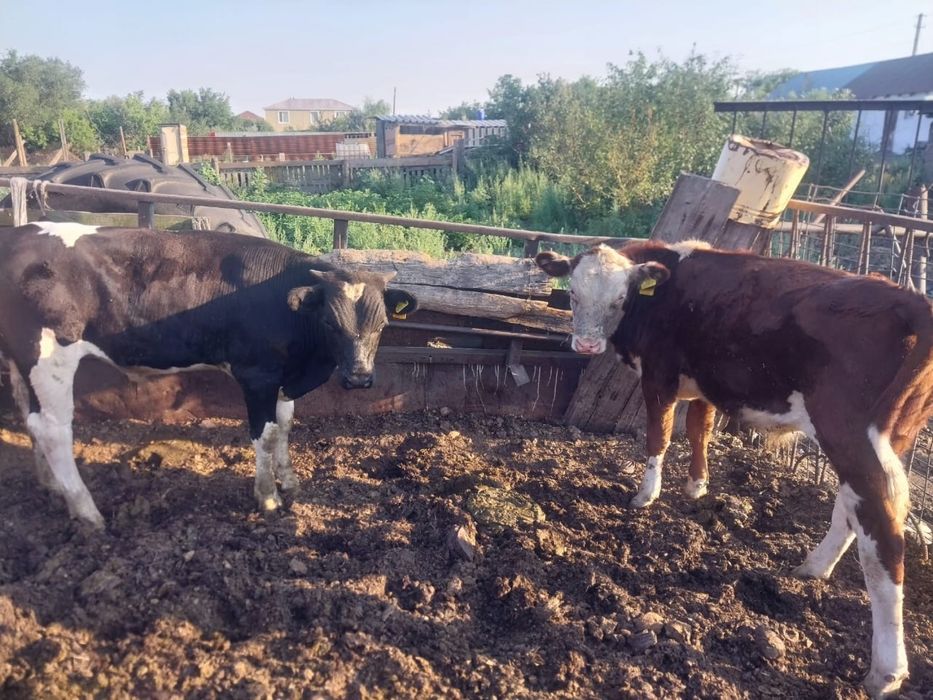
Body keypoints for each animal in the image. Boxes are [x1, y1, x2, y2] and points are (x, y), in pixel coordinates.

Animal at [0, 222, 416, 530]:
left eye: (382, 324)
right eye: (331, 323)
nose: (359, 378)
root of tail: (17, 234)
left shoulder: (281, 378)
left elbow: (285, 426)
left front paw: (291, 482)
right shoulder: (257, 375)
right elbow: (265, 435)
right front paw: (268, 496)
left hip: (22, 362)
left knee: (30, 419)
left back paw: (51, 486)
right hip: (48, 358)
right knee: (54, 430)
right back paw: (87, 512)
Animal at [535, 240, 933, 698]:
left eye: (620, 298)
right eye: (573, 293)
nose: (585, 345)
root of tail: (908, 298)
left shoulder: (659, 377)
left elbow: (659, 435)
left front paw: (646, 495)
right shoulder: (702, 384)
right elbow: (699, 429)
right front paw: (696, 486)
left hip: (849, 433)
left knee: (882, 530)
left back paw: (886, 671)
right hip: (889, 437)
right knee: (852, 510)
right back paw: (813, 568)